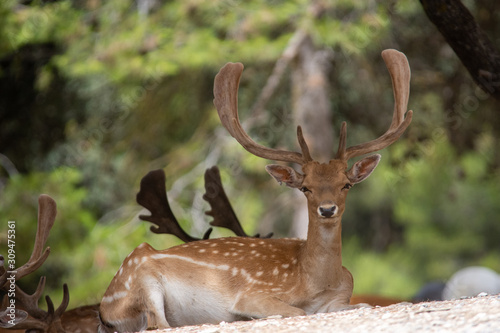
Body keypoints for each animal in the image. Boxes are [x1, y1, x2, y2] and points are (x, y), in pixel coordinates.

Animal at [98, 48, 414, 330]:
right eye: (306, 188)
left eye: (345, 184)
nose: (327, 209)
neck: (316, 282)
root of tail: (103, 308)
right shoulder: (252, 294)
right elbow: (299, 311)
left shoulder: (342, 298)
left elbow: (365, 305)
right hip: (142, 279)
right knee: (158, 324)